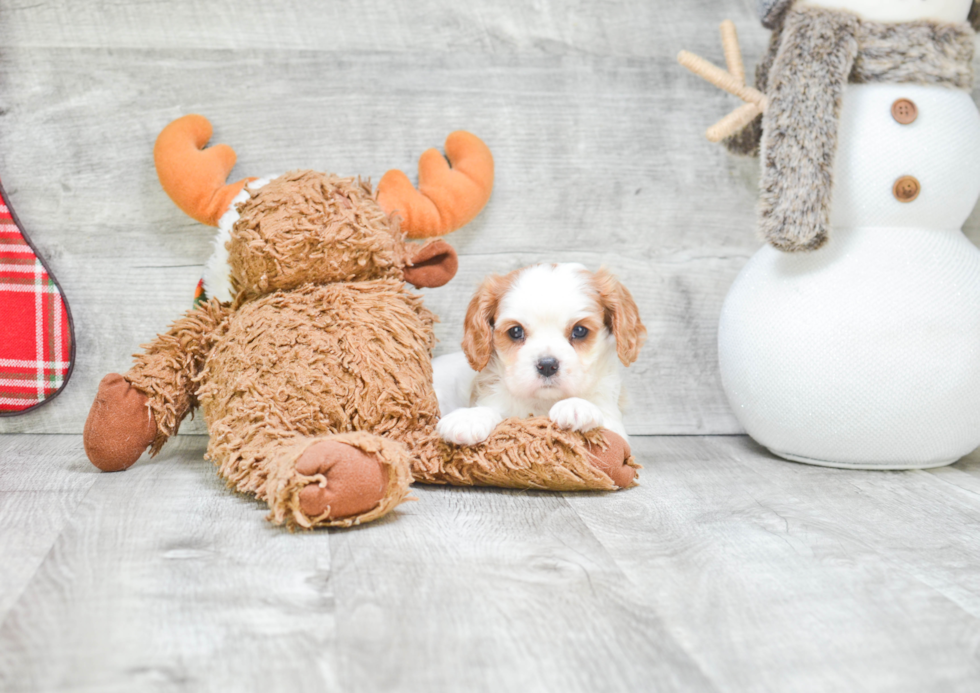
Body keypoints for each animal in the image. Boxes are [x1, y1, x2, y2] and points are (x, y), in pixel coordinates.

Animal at [434, 262, 648, 446]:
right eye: (515, 331)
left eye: (580, 331)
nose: (546, 365)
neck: (543, 402)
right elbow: (497, 415)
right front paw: (469, 418)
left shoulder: (615, 425)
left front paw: (576, 406)